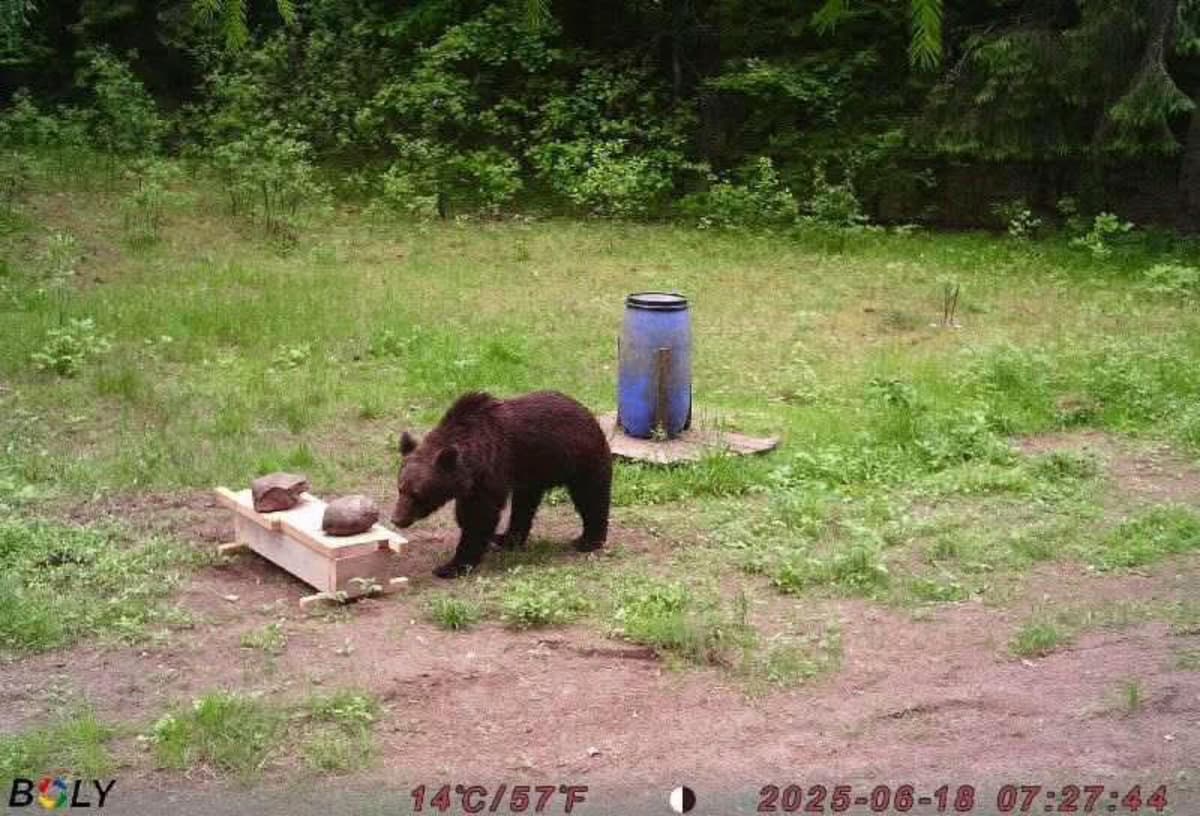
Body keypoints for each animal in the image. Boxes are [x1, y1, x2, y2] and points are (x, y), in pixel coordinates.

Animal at [390, 390, 612, 578]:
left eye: (417, 494)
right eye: (400, 488)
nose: (397, 519)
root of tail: (587, 413)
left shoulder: (491, 472)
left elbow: (478, 517)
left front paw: (452, 566)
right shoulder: (474, 484)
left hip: (580, 460)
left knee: (591, 497)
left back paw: (588, 540)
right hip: (532, 474)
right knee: (524, 507)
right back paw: (506, 538)